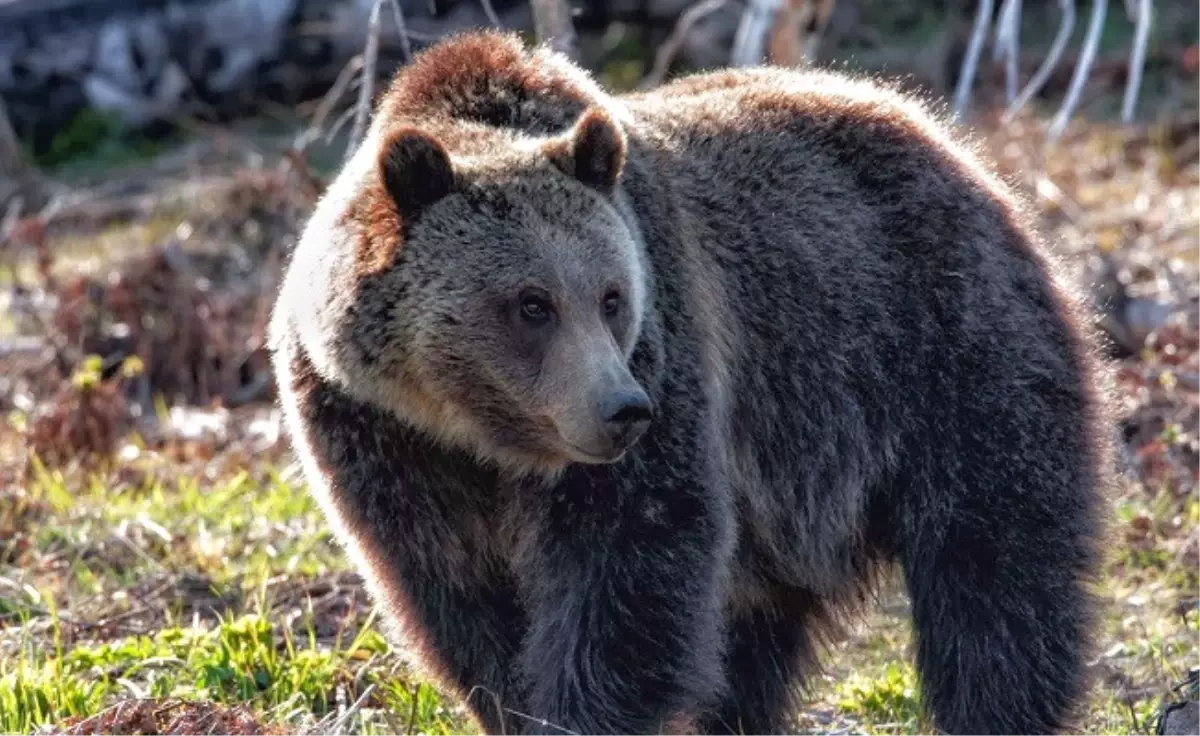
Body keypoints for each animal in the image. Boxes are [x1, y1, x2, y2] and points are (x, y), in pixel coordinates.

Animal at [267, 30, 1108, 734]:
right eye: (531, 304)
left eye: (612, 296)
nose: (621, 410)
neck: (478, 433)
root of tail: (947, 137)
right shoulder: (381, 440)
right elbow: (458, 598)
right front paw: (516, 703)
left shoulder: (668, 358)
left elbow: (630, 565)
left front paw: (580, 713)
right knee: (759, 635)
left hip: (941, 350)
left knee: (992, 570)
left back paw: (999, 704)